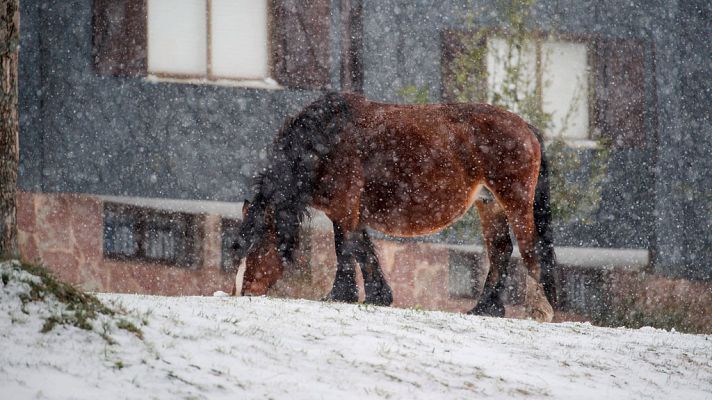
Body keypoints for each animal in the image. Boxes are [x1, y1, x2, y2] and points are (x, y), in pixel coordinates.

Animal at [228, 91, 556, 318]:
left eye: (258, 244)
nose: (242, 292)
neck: (325, 141)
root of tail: (526, 127)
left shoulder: (344, 208)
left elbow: (344, 249)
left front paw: (340, 294)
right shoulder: (352, 213)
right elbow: (363, 250)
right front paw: (378, 295)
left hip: (515, 203)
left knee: (530, 249)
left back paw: (539, 311)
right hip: (490, 205)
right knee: (500, 250)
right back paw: (485, 308)